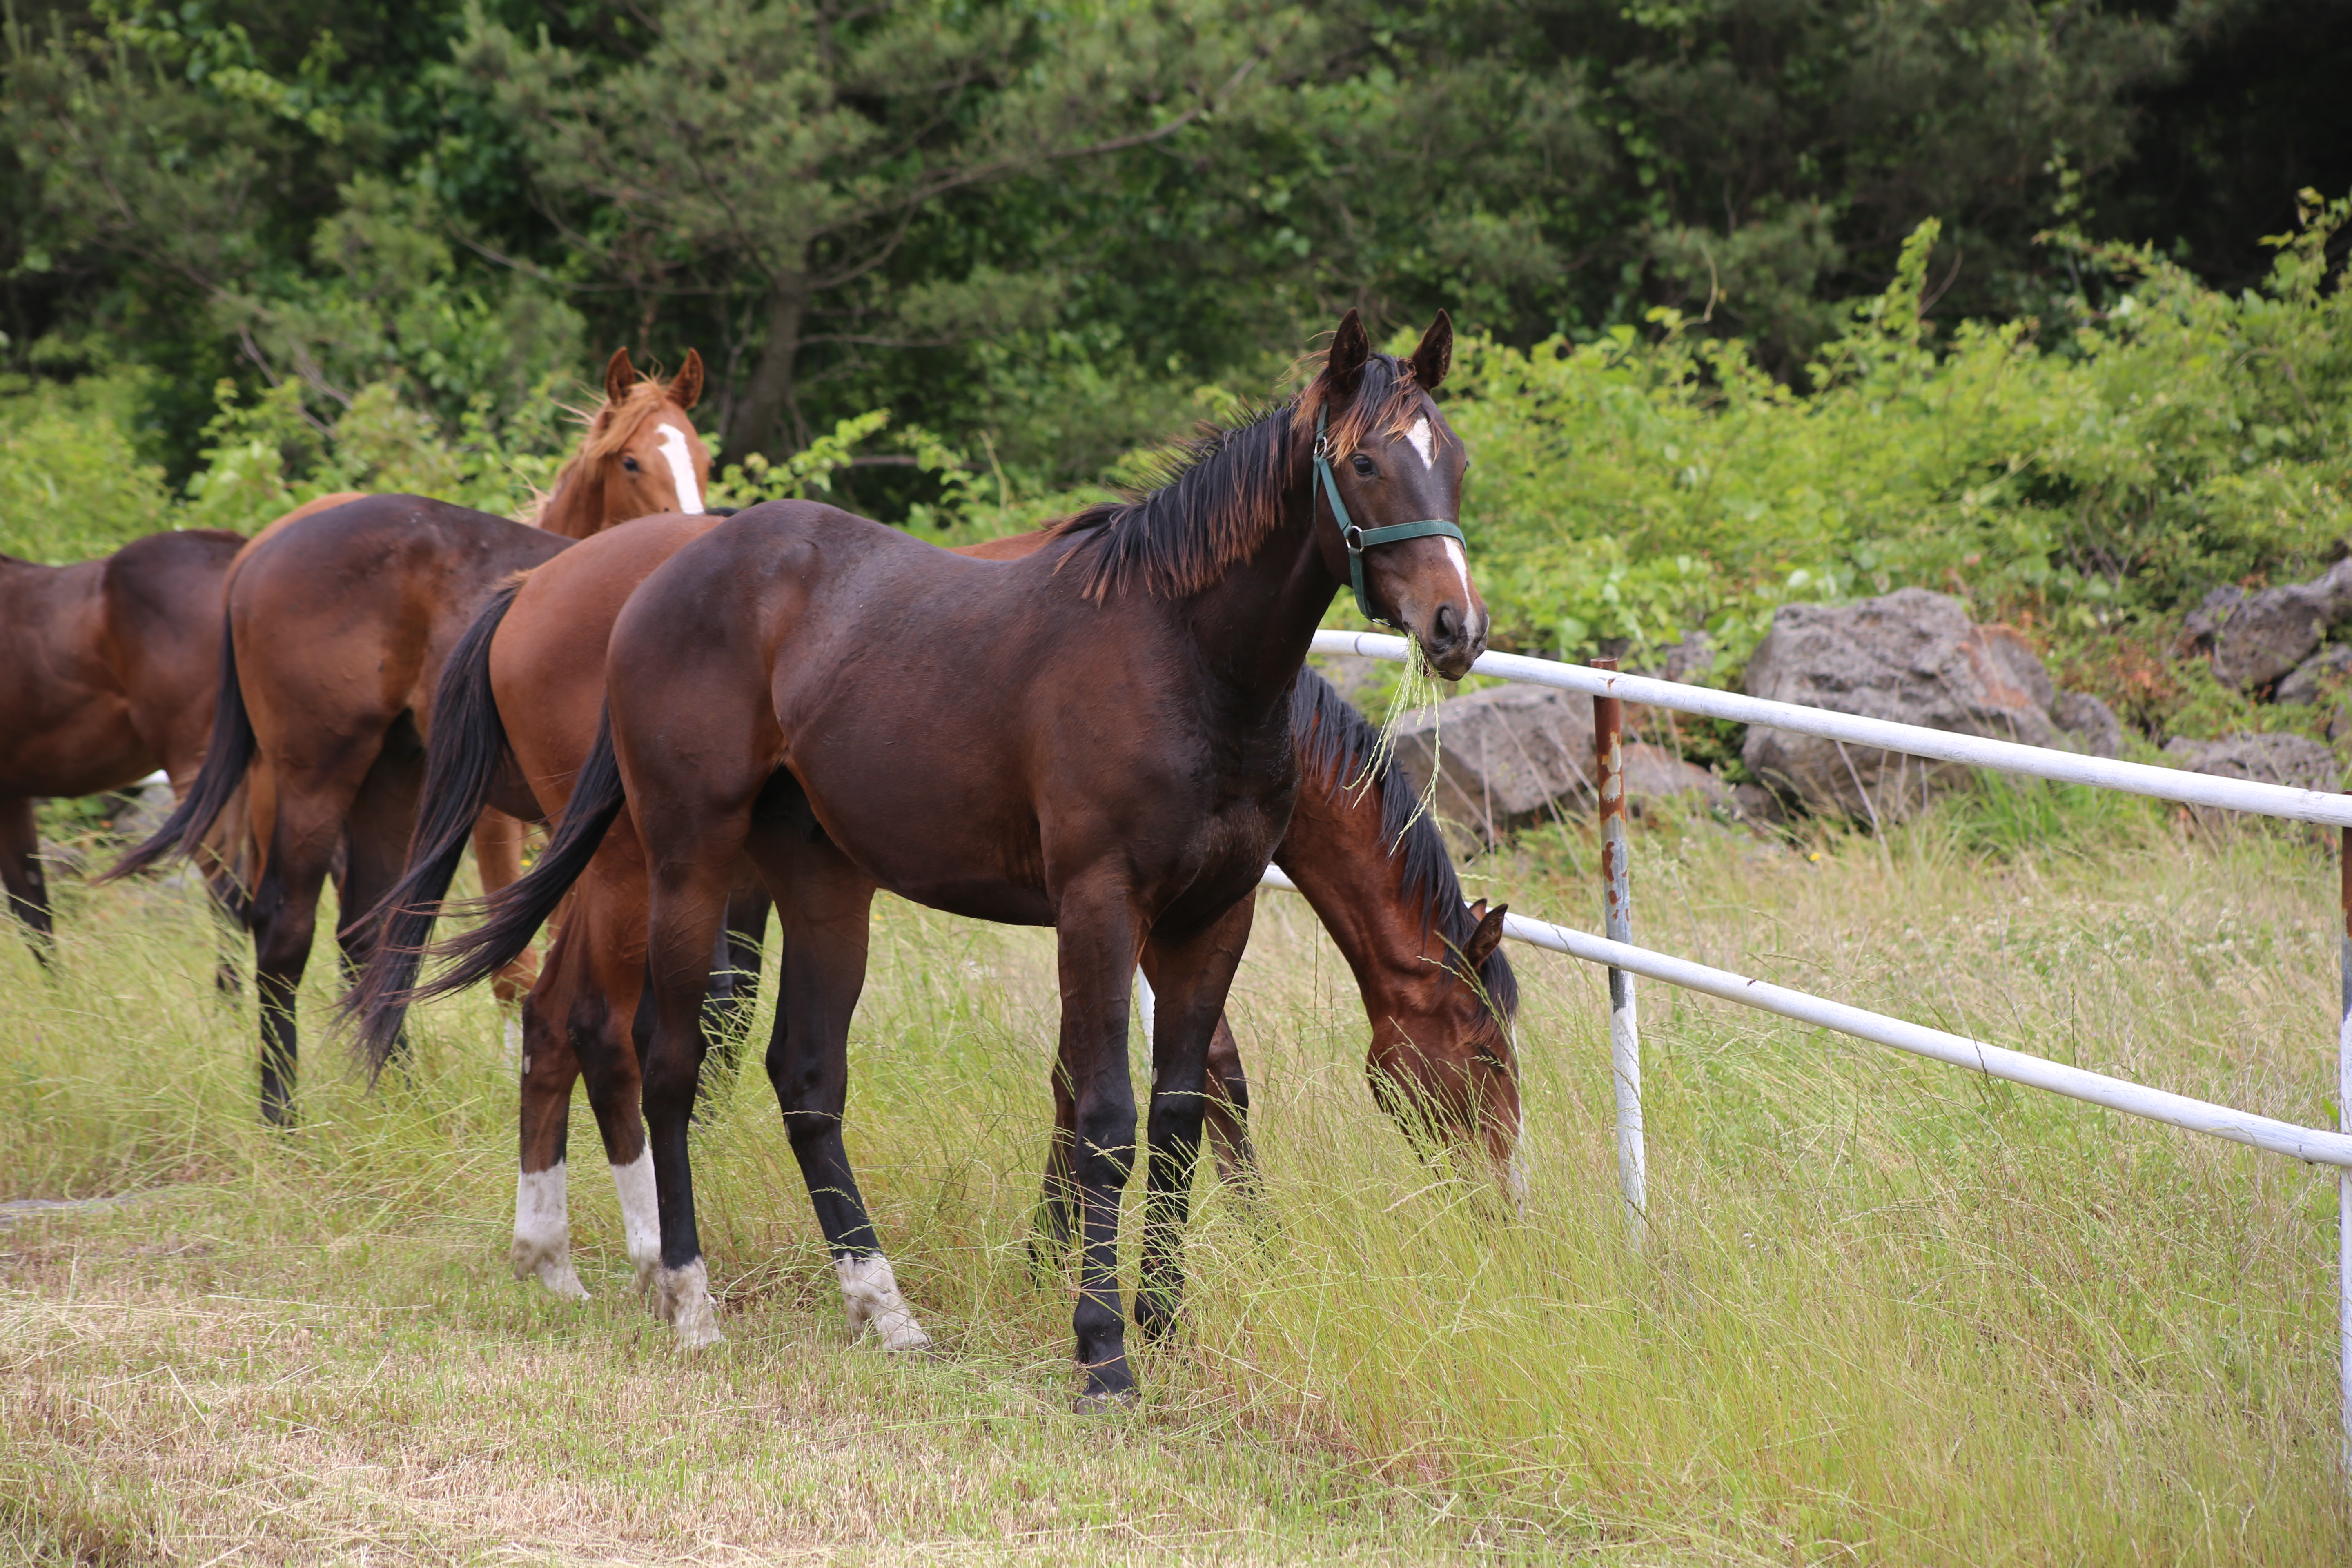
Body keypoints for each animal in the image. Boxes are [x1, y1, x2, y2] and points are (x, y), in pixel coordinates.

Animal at [106, 352, 706, 1128]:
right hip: (315, 775)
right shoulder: (510, 824)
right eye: (630, 461)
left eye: (702, 457)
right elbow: (520, 963)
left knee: (366, 931)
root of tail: (260, 555)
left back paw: (402, 1096)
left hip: (392, 777)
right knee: (280, 923)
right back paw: (282, 1110)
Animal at [367, 312, 1477, 1401]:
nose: (1456, 624)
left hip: (820, 885)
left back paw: (879, 1307)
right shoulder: (1099, 908)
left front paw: (1164, 1323)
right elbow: (1104, 1118)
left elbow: (1177, 1115)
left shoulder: (1215, 916)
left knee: (800, 1073)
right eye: (1366, 461)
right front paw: (1101, 1349)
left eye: (1453, 460)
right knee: (659, 1056)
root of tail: (636, 583)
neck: (1183, 658)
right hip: (676, 863)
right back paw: (686, 1297)